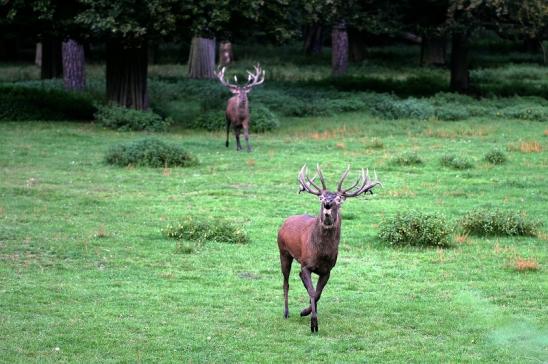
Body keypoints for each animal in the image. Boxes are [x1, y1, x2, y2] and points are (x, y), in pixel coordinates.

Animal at [278, 165, 382, 332]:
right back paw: (286, 312)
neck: (322, 254)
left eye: (339, 199)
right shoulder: (306, 264)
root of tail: (285, 222)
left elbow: (317, 293)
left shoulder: (328, 270)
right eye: (321, 197)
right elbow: (313, 292)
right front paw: (313, 323)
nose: (328, 203)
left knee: (299, 278)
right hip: (283, 251)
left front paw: (306, 311)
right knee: (286, 282)